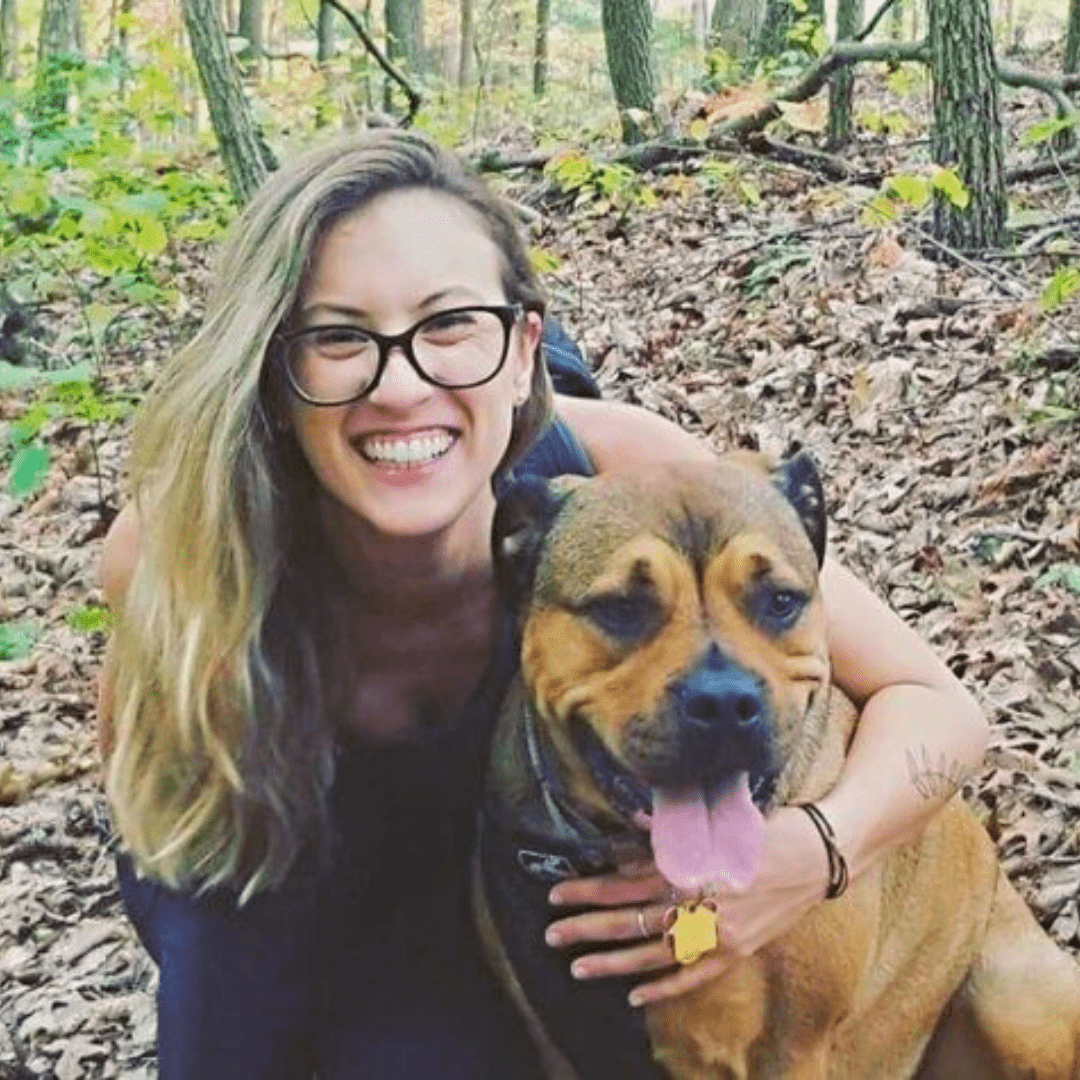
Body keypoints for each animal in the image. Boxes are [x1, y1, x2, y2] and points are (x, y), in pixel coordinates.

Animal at [477, 453, 1080, 1080]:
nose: (723, 702)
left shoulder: (792, 1049)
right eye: (620, 608)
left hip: (1017, 1001)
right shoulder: (562, 1042)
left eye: (780, 600)